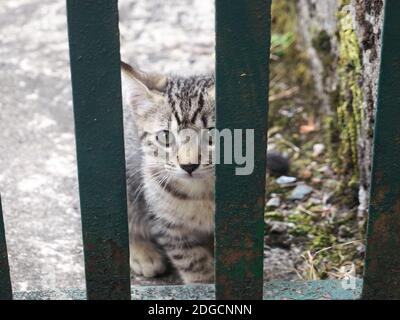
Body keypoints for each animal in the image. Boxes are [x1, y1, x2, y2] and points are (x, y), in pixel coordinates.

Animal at [120, 60, 290, 282]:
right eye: (165, 137)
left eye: (213, 134)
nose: (188, 165)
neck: (202, 193)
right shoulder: (165, 224)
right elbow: (191, 260)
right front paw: (203, 282)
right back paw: (143, 254)